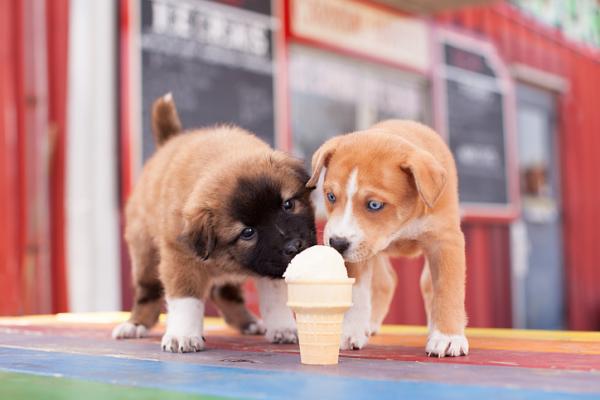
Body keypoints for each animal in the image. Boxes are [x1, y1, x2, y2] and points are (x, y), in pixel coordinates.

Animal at [114, 95, 316, 352]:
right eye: (247, 232)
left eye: (288, 205)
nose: (294, 246)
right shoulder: (181, 258)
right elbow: (185, 299)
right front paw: (182, 335)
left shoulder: (273, 265)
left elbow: (275, 298)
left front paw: (283, 327)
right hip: (145, 254)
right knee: (147, 293)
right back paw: (135, 325)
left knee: (224, 292)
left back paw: (248, 323)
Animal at [310, 119, 468, 356]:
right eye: (330, 196)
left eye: (374, 204)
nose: (336, 244)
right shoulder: (358, 252)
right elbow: (357, 292)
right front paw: (350, 331)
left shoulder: (446, 242)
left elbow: (448, 289)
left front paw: (448, 337)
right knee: (385, 282)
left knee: (427, 285)